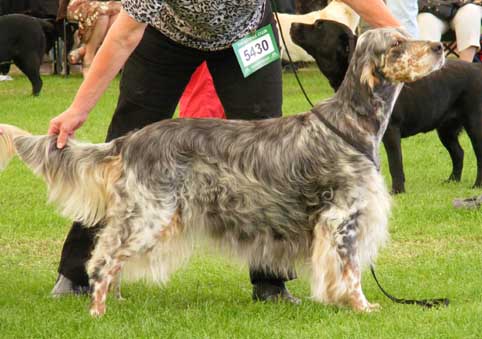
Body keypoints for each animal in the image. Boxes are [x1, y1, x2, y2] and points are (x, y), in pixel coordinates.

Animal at [0, 27, 444, 318]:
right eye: (397, 44)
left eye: (407, 34)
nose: (441, 46)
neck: (349, 124)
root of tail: (131, 139)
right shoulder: (344, 218)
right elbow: (350, 271)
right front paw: (363, 306)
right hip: (150, 216)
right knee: (102, 260)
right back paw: (98, 312)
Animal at [290, 19, 482, 194]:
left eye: (319, 25)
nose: (293, 24)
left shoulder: (391, 131)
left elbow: (395, 163)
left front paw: (397, 191)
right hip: (446, 129)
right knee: (458, 153)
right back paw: (452, 181)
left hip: (474, 125)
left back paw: (477, 185)